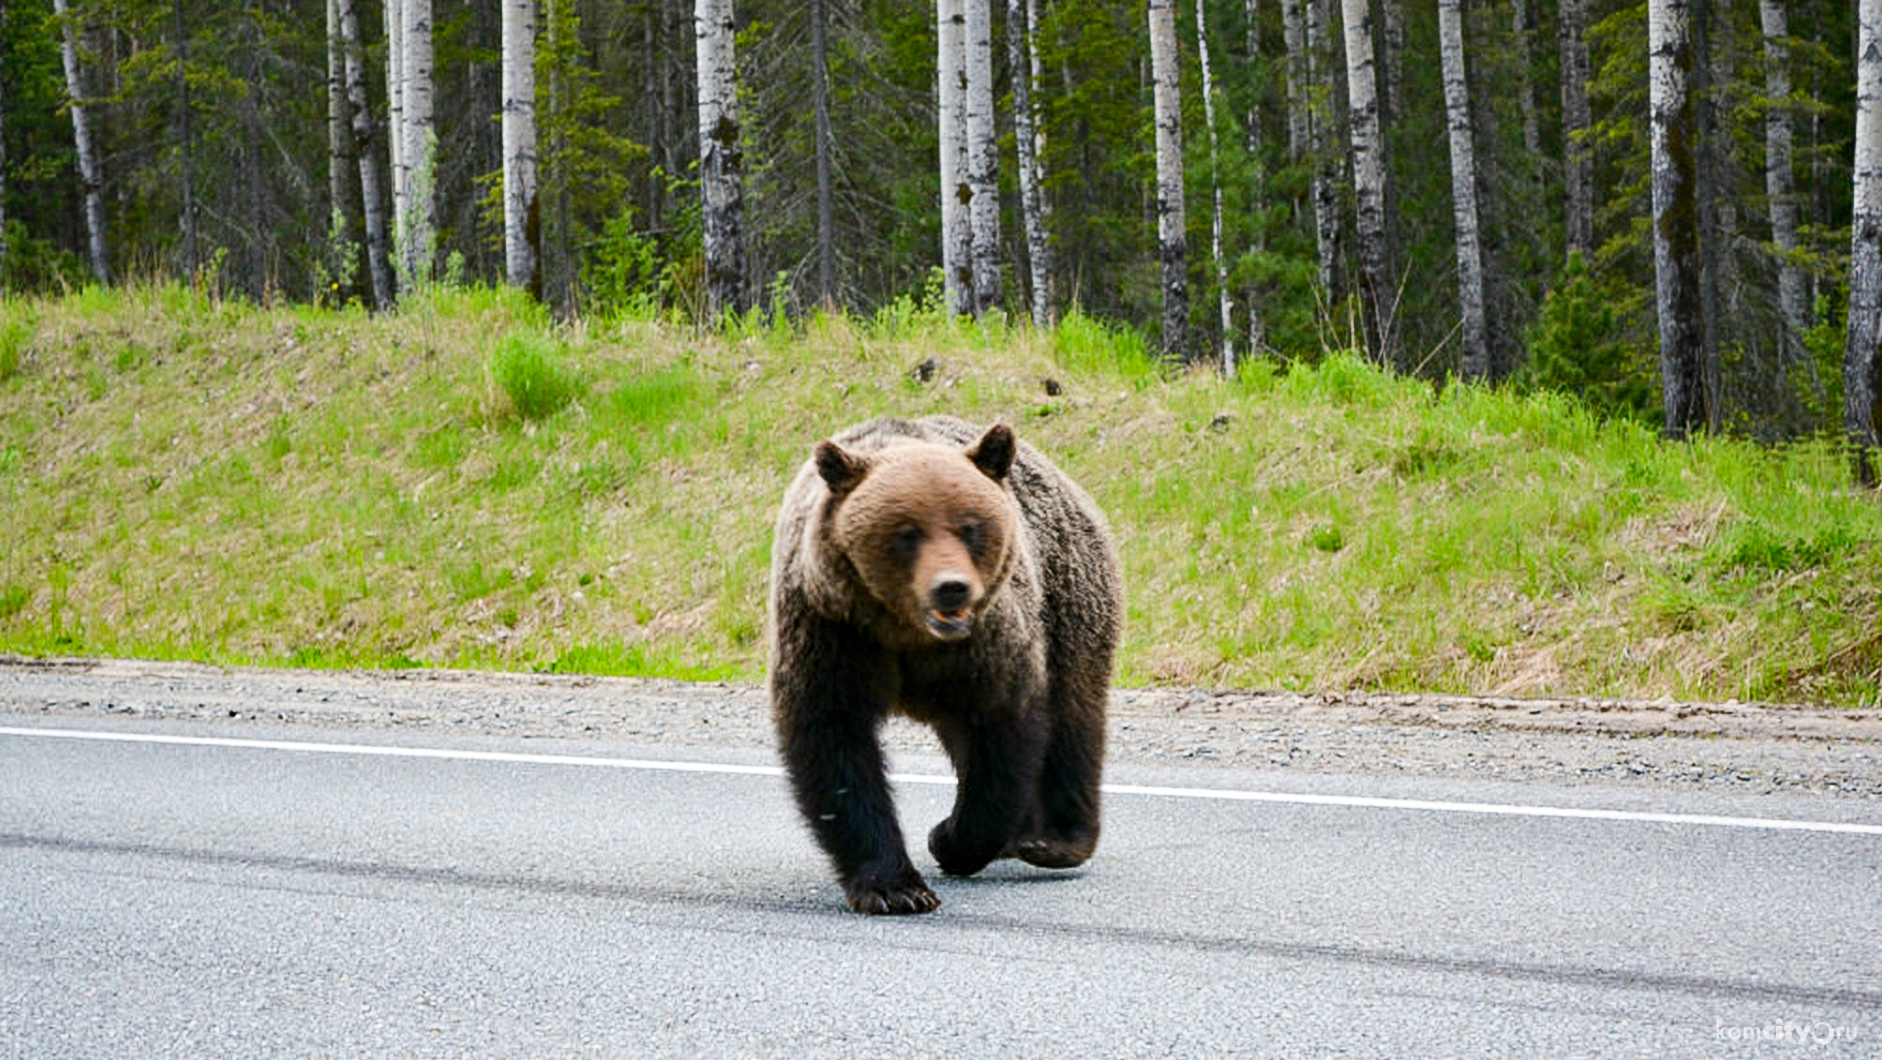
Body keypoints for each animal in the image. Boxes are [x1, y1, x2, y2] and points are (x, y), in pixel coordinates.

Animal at [771, 414, 1121, 911]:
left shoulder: (985, 643)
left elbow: (1003, 732)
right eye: (907, 532)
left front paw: (950, 838)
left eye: (970, 527)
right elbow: (834, 740)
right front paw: (895, 888)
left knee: (1073, 714)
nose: (952, 587)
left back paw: (1055, 840)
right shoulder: (832, 629)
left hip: (1070, 599)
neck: (907, 632)